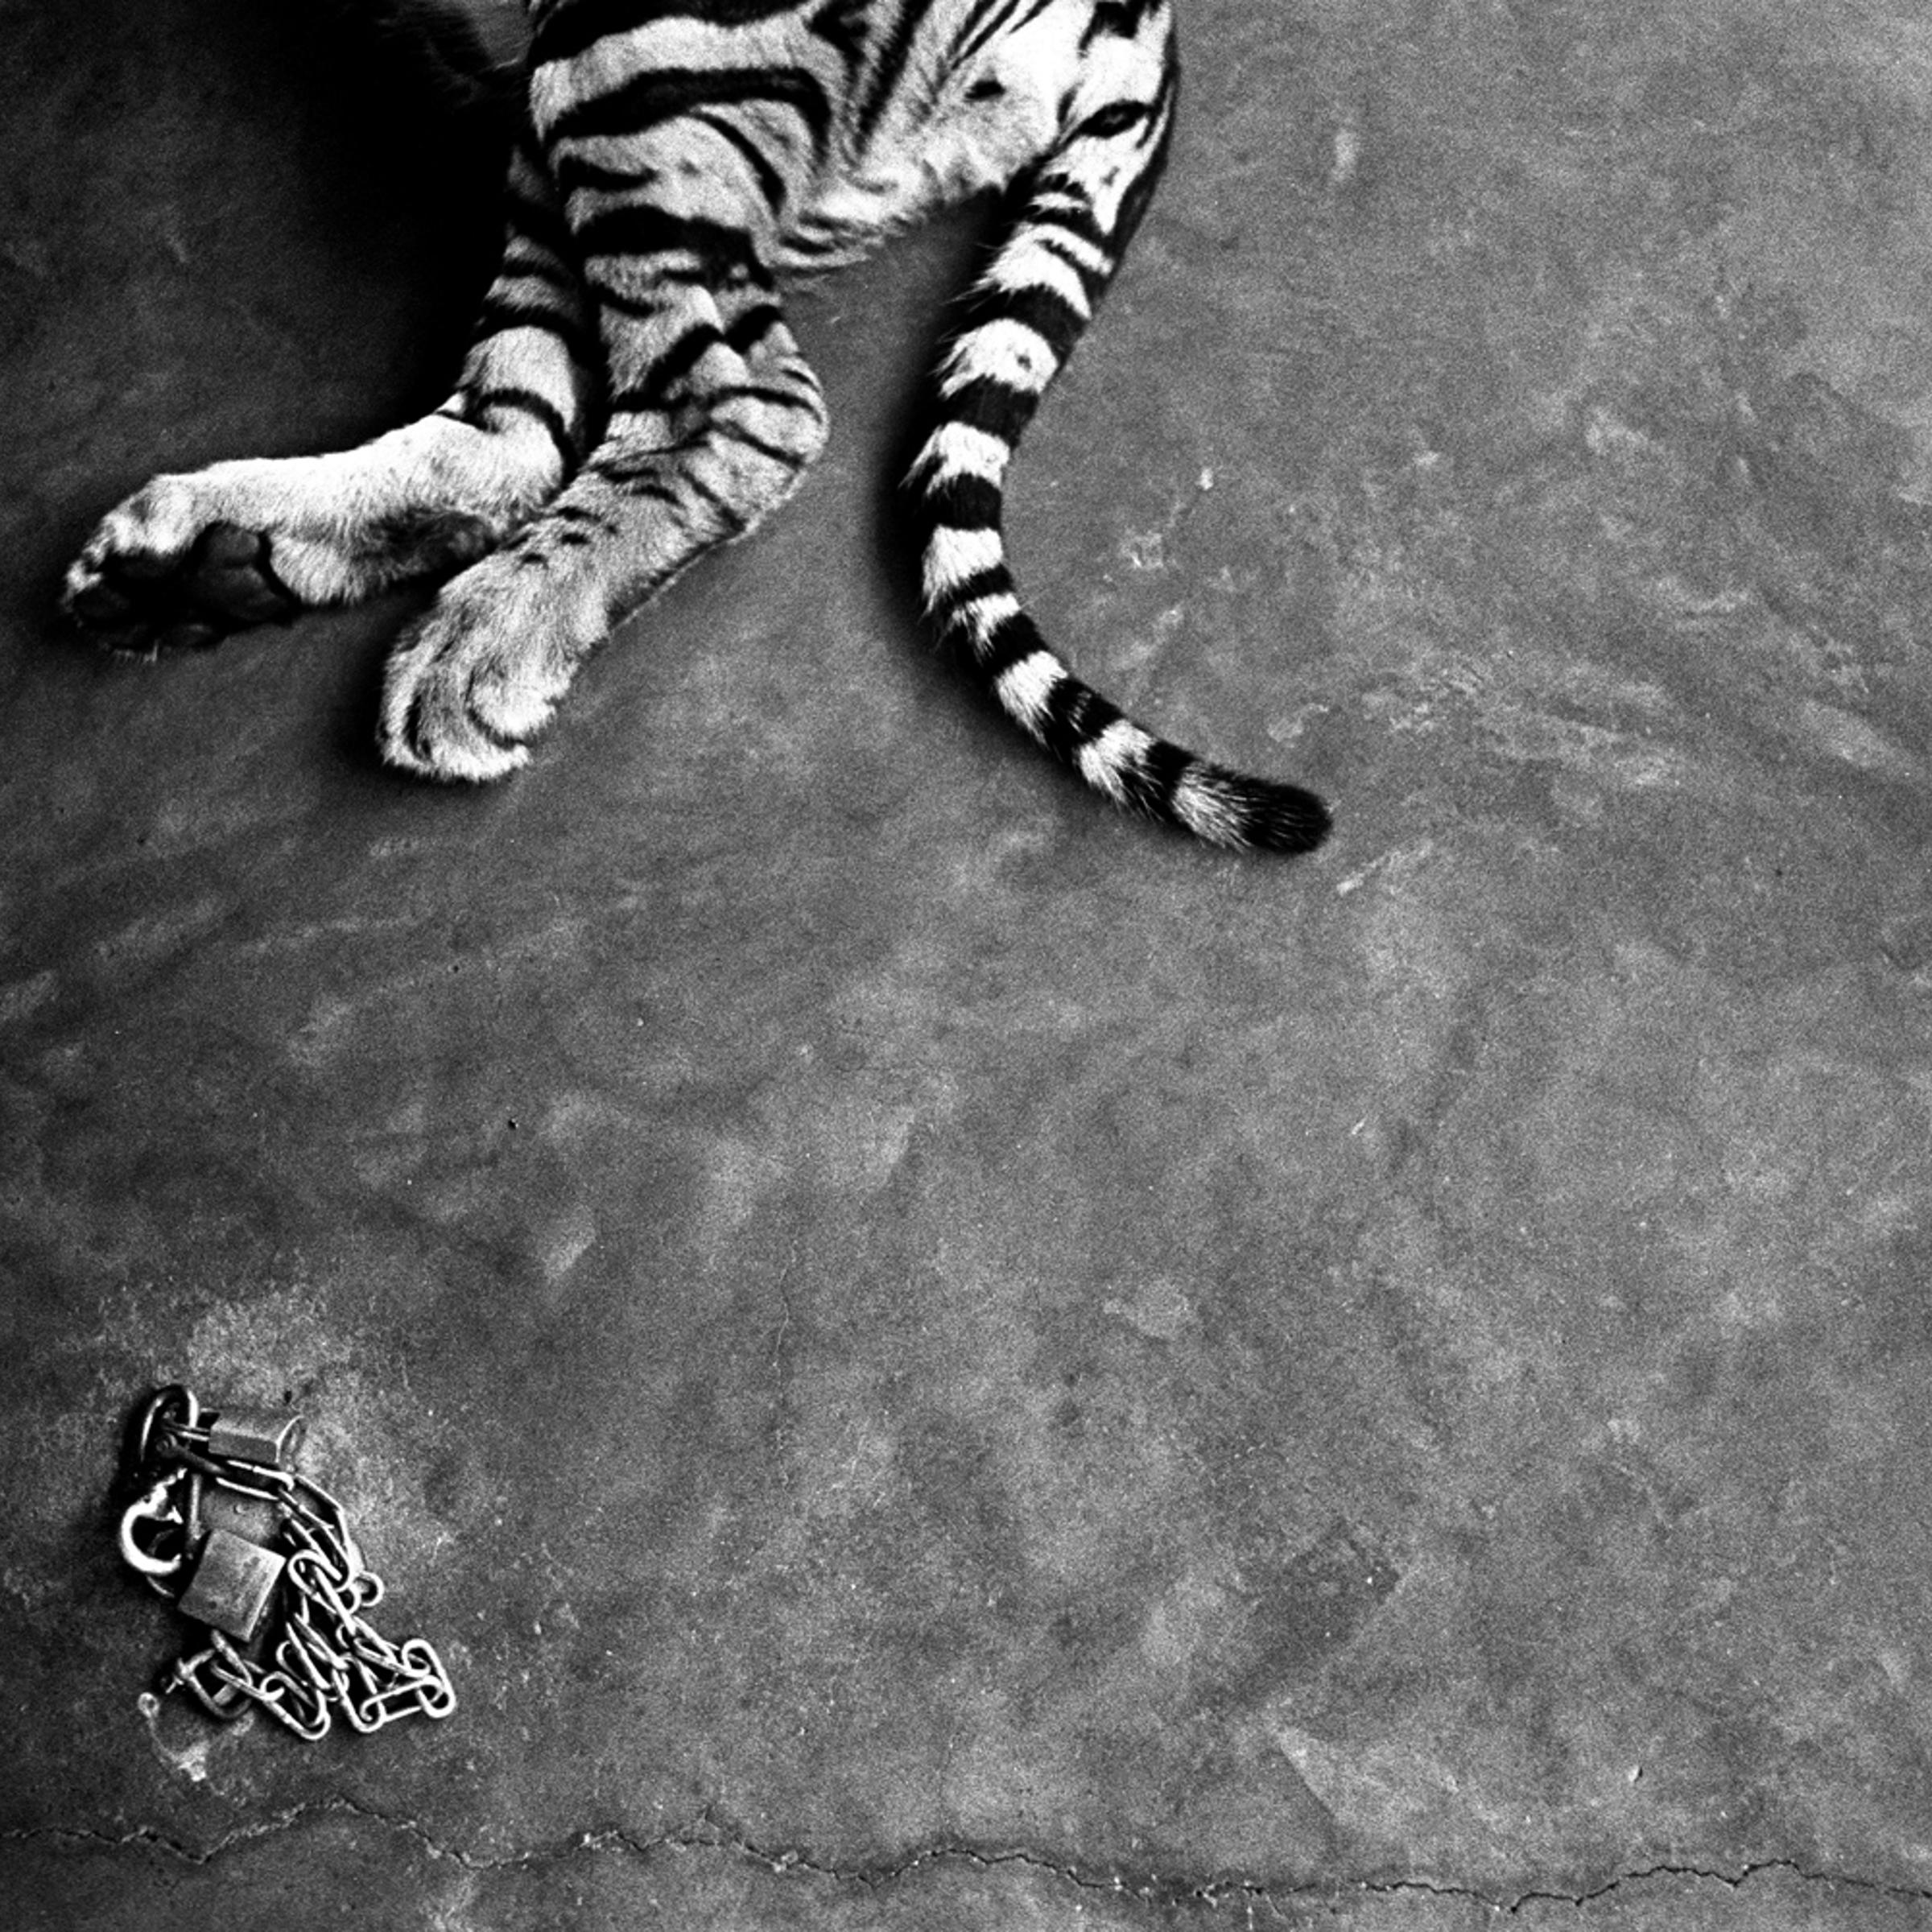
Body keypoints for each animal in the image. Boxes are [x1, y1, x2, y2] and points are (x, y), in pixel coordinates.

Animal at [62, 0, 1331, 853]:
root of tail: (1145, 15)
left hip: (630, 53)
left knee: (737, 404)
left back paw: (470, 653)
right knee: (517, 426)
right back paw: (193, 565)